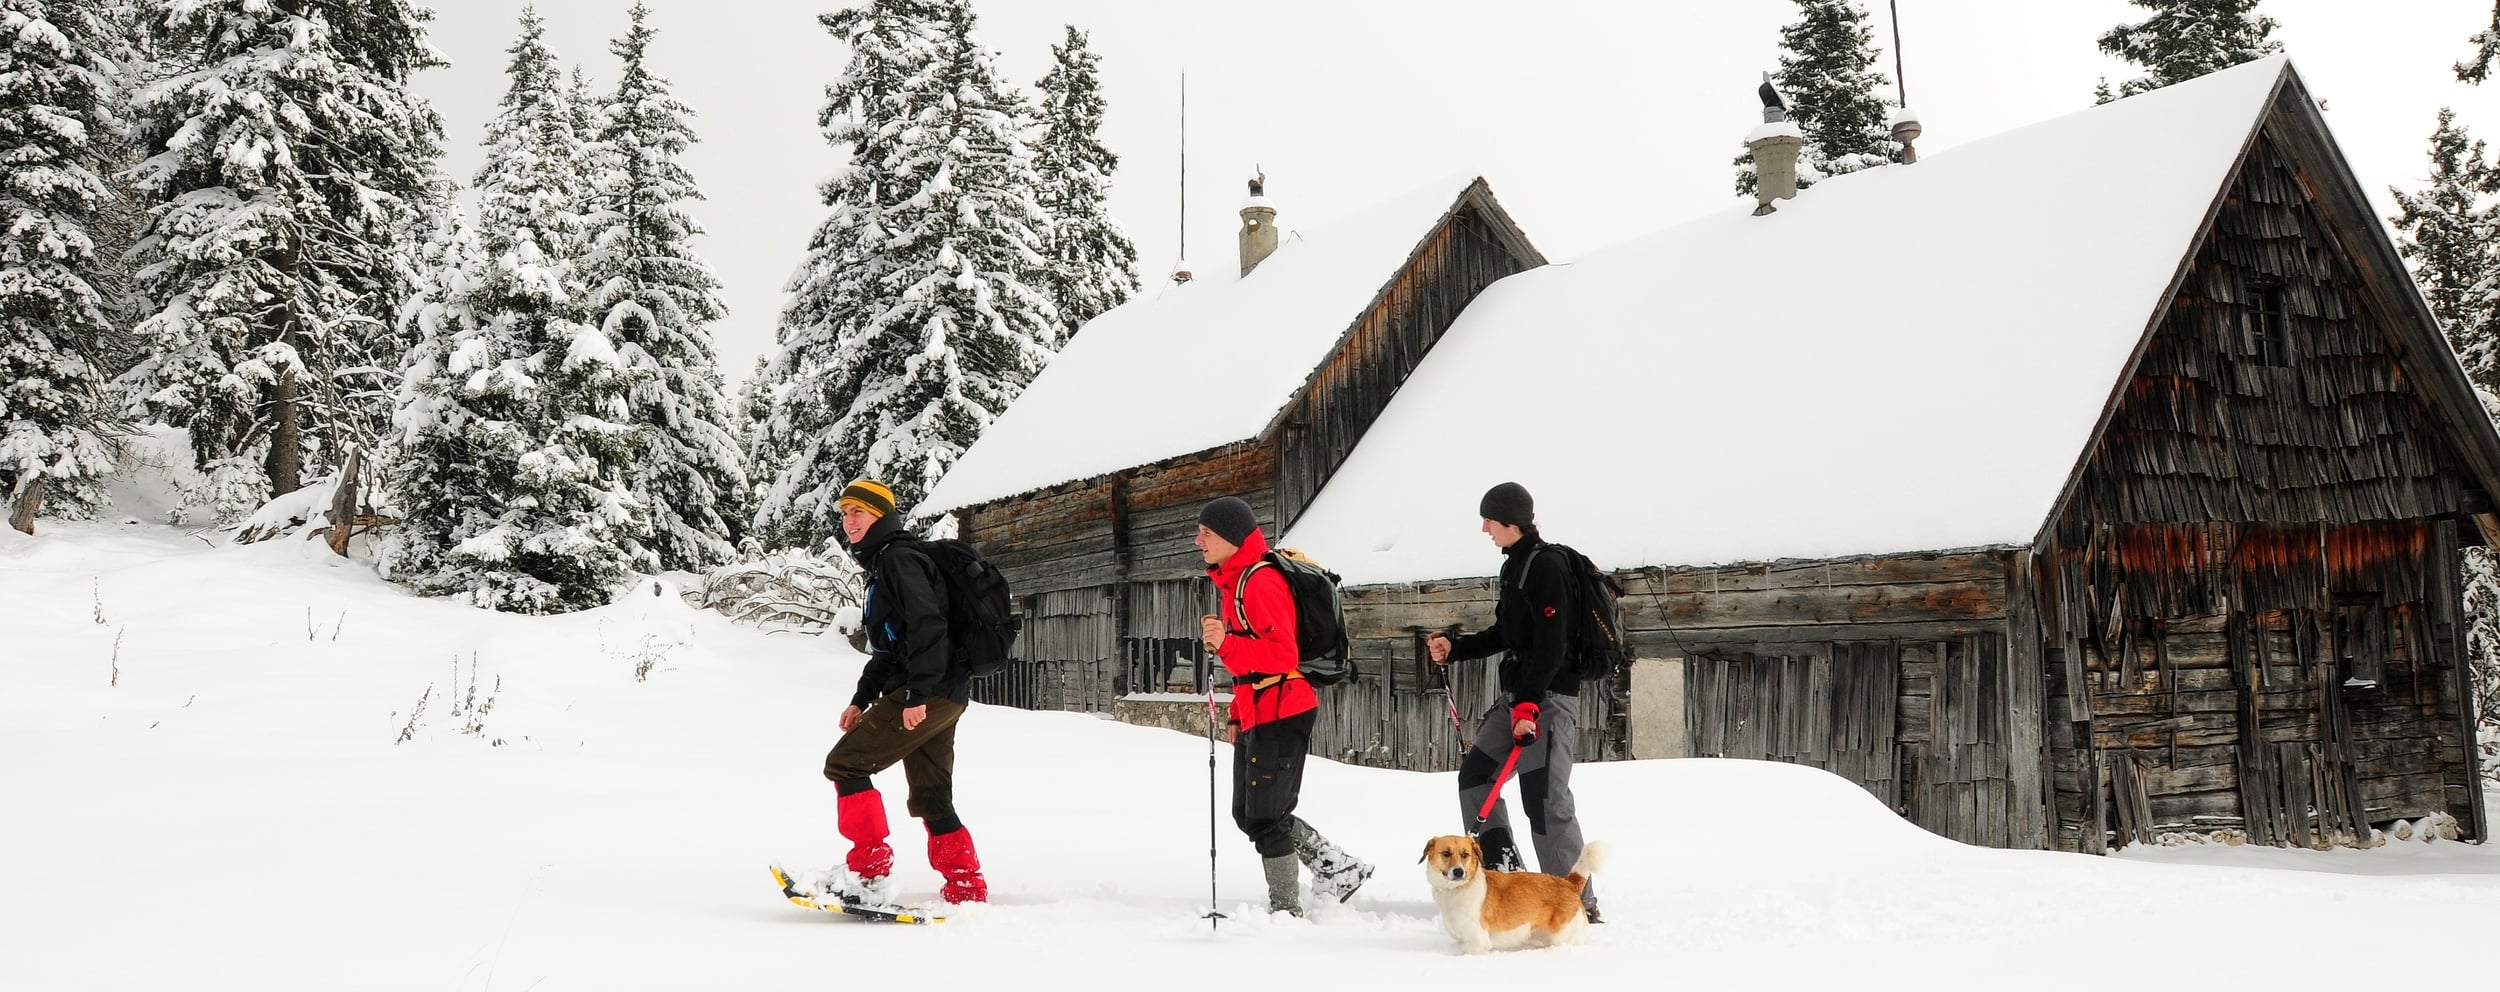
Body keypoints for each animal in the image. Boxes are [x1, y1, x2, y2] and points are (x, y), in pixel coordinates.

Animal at [1420, 834, 1610, 949]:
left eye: (1465, 854)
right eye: (1446, 853)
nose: (1459, 872)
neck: (1458, 889)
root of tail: (1568, 883)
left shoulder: (1478, 942)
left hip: (1562, 938)